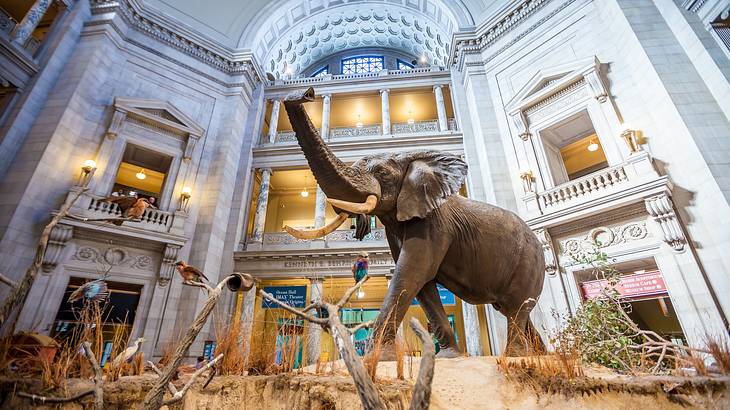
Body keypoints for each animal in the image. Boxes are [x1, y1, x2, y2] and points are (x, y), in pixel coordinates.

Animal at [282, 88, 544, 358]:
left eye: (382, 173)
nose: (305, 94)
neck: (409, 158)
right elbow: (423, 285)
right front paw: (448, 356)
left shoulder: (433, 222)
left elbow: (411, 272)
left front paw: (378, 358)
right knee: (516, 310)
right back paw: (540, 354)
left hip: (530, 262)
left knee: (516, 307)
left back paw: (516, 356)